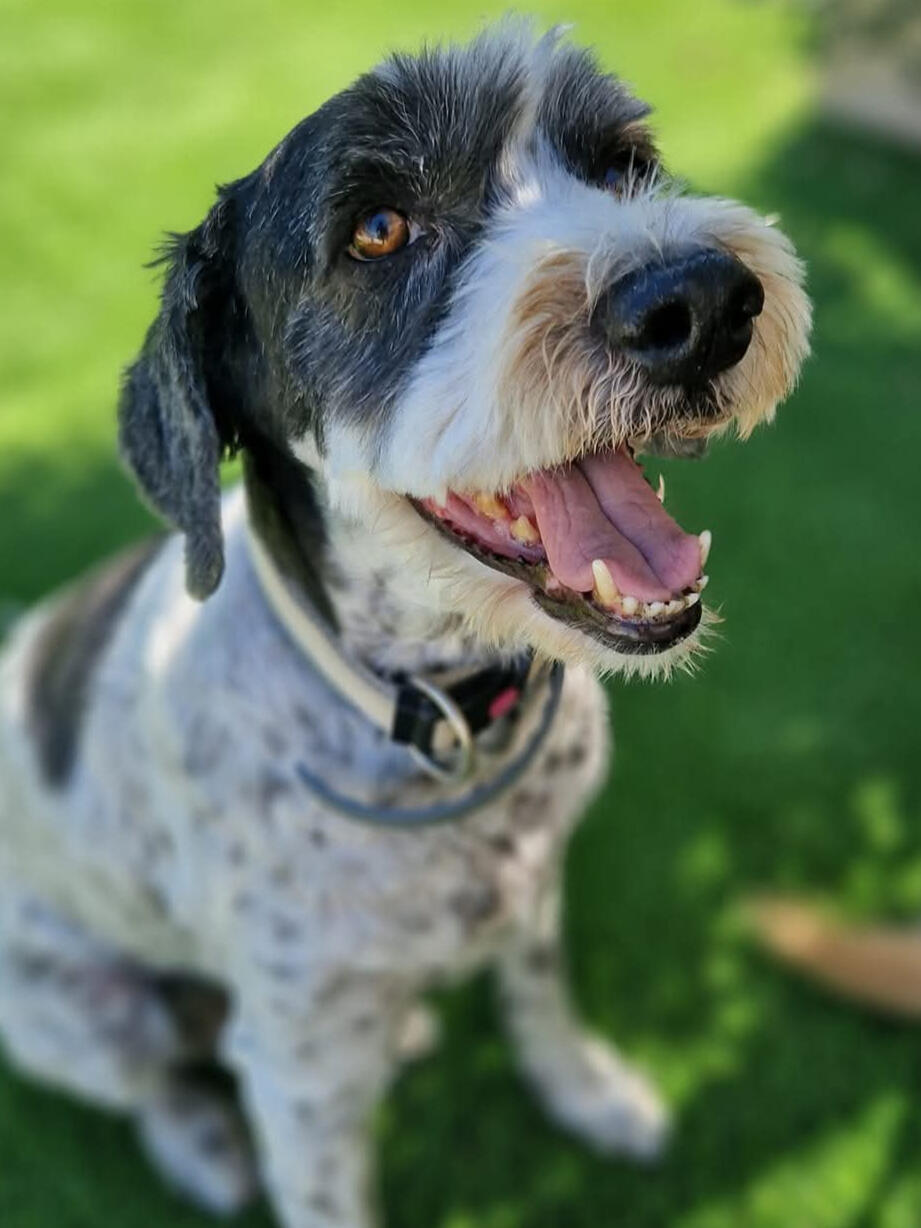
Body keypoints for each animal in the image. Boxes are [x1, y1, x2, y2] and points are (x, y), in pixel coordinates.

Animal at [0, 21, 811, 1227]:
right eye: (378, 229)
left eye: (622, 163)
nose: (703, 300)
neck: (433, 711)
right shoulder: (300, 1068)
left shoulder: (534, 893)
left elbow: (540, 1003)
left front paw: (590, 1094)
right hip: (87, 1011)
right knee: (155, 1079)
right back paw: (203, 1145)